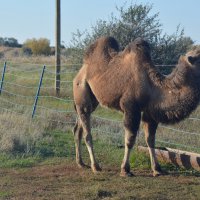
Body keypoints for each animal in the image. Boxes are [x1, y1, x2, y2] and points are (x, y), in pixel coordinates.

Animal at [72, 36, 200, 177]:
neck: (154, 87)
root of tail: (80, 71)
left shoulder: (150, 113)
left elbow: (150, 139)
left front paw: (157, 169)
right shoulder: (131, 108)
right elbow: (130, 139)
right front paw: (125, 169)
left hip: (92, 99)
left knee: (78, 128)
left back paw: (81, 163)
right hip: (81, 89)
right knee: (87, 131)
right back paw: (95, 166)